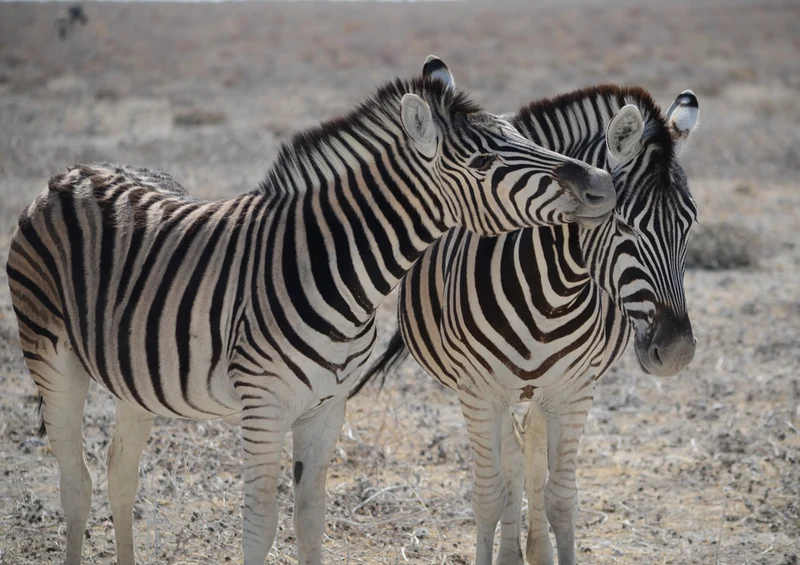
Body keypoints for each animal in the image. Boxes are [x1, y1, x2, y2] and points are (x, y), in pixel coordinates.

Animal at [6, 64, 617, 565]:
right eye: (486, 161)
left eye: (521, 135)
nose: (602, 184)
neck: (340, 274)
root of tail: (74, 171)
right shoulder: (264, 405)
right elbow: (260, 524)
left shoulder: (327, 406)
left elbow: (310, 521)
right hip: (51, 357)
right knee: (76, 484)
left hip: (137, 377)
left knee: (120, 474)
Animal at [353, 57, 699, 565]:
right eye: (623, 224)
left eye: (691, 223)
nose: (675, 352)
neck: (552, 293)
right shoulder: (480, 392)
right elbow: (489, 494)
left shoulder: (574, 391)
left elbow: (560, 497)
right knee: (512, 458)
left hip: (542, 391)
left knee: (531, 448)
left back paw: (534, 547)